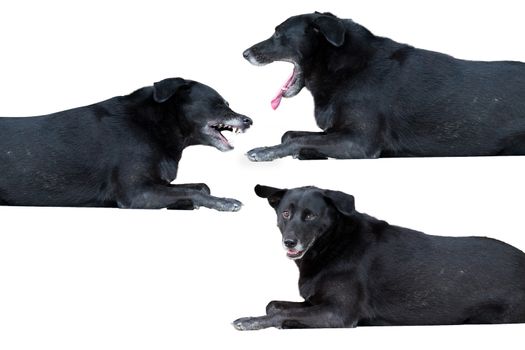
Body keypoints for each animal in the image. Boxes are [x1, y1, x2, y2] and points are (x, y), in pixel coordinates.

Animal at [0, 78, 252, 211]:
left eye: (226, 103)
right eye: (219, 104)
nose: (249, 120)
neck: (154, 125)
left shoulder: (155, 183)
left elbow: (200, 187)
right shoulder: (137, 192)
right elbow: (195, 190)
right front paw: (224, 202)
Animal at [232, 185, 524, 330]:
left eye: (311, 216)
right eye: (285, 213)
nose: (289, 242)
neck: (333, 243)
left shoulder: (338, 313)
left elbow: (278, 313)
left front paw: (250, 321)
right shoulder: (318, 302)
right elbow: (274, 305)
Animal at [244, 11, 524, 162]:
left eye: (278, 34)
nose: (245, 53)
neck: (345, 66)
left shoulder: (358, 141)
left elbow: (296, 139)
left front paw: (264, 151)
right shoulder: (339, 131)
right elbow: (291, 134)